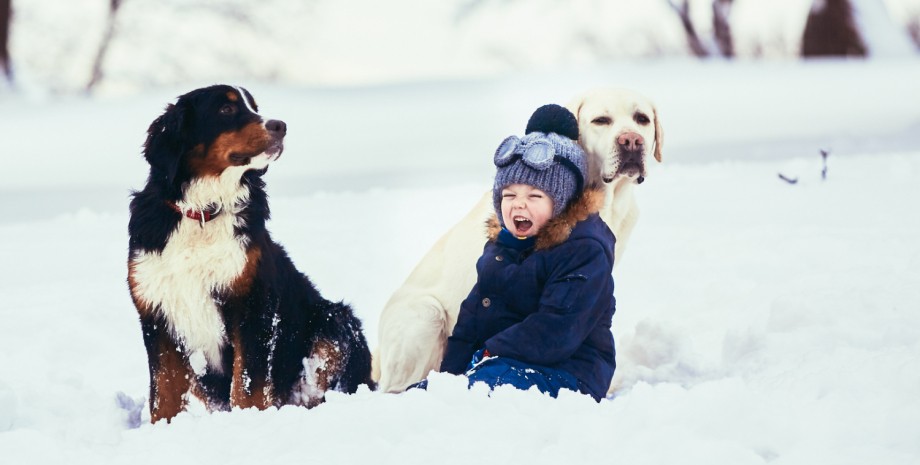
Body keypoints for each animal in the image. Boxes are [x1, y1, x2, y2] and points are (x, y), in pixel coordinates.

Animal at [127, 85, 376, 422]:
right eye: (227, 109)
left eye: (255, 107)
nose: (280, 126)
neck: (204, 212)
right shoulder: (157, 312)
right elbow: (164, 393)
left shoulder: (251, 303)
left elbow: (246, 385)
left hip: (334, 322)